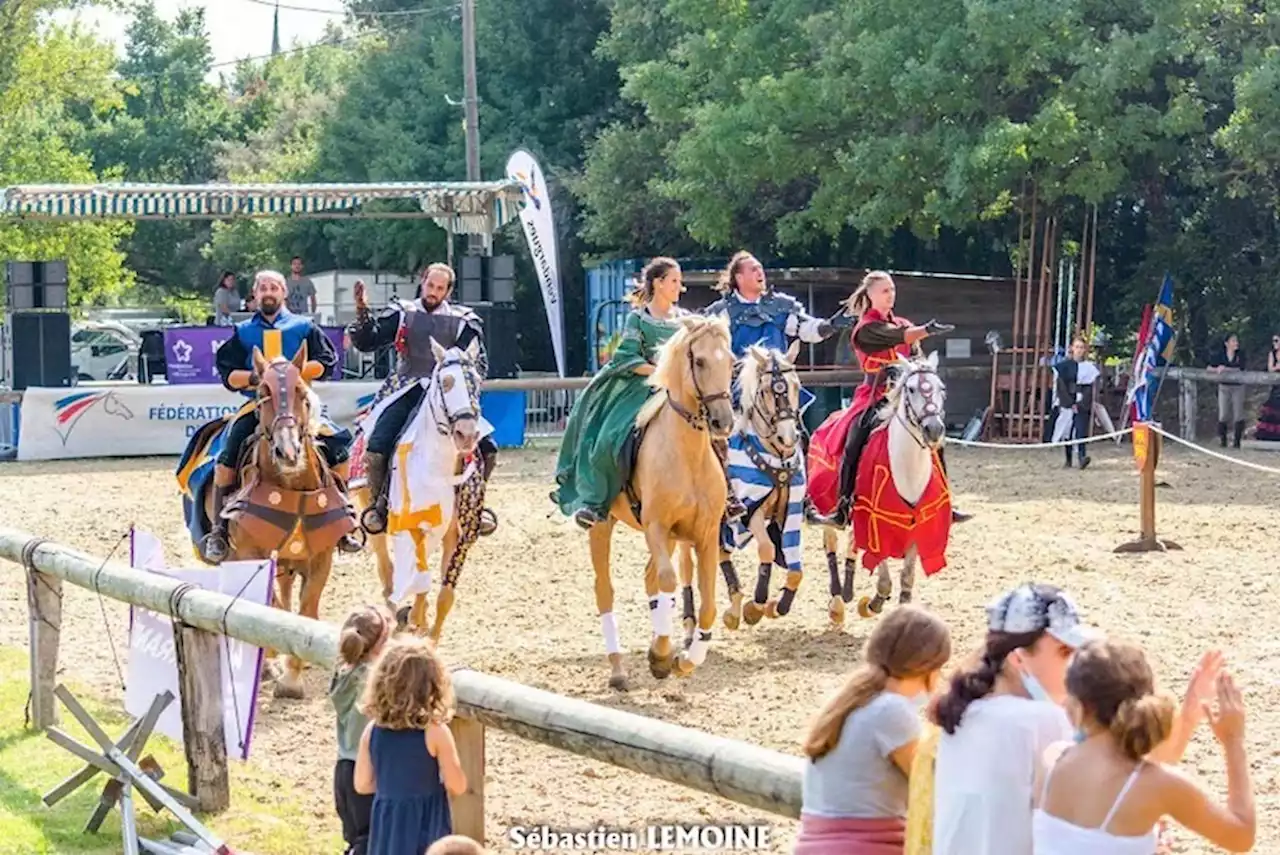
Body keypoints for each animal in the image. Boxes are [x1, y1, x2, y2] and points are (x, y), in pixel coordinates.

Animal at [177, 343, 358, 696]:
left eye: (301, 391)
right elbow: (267, 605)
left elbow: (305, 612)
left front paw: (292, 676)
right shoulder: (251, 554)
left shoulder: (321, 558)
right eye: (262, 392)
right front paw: (273, 664)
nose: (288, 452)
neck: (291, 486)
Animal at [350, 337, 488, 645]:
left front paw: (430, 637)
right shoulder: (413, 526)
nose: (466, 434)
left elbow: (445, 594)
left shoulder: (462, 535)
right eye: (445, 382)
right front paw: (413, 619)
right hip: (371, 512)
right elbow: (421, 580)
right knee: (387, 569)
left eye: (476, 380)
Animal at [586, 317, 737, 691]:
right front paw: (663, 655)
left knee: (649, 578)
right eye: (699, 361)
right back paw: (618, 669)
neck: (687, 455)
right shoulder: (655, 527)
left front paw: (683, 661)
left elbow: (708, 606)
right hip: (602, 525)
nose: (724, 422)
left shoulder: (705, 535)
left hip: (669, 538)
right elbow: (669, 583)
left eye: (730, 361)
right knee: (605, 589)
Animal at [706, 340, 803, 634]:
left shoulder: (790, 513)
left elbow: (796, 569)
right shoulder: (752, 512)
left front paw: (777, 606)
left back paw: (734, 608)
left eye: (796, 385)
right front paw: (756, 606)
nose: (788, 437)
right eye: (765, 391)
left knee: (721, 553)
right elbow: (767, 550)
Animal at [844, 350, 947, 616]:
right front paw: (876, 600)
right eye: (910, 389)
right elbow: (880, 564)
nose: (934, 429)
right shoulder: (873, 520)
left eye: (941, 388)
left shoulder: (919, 523)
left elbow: (907, 575)